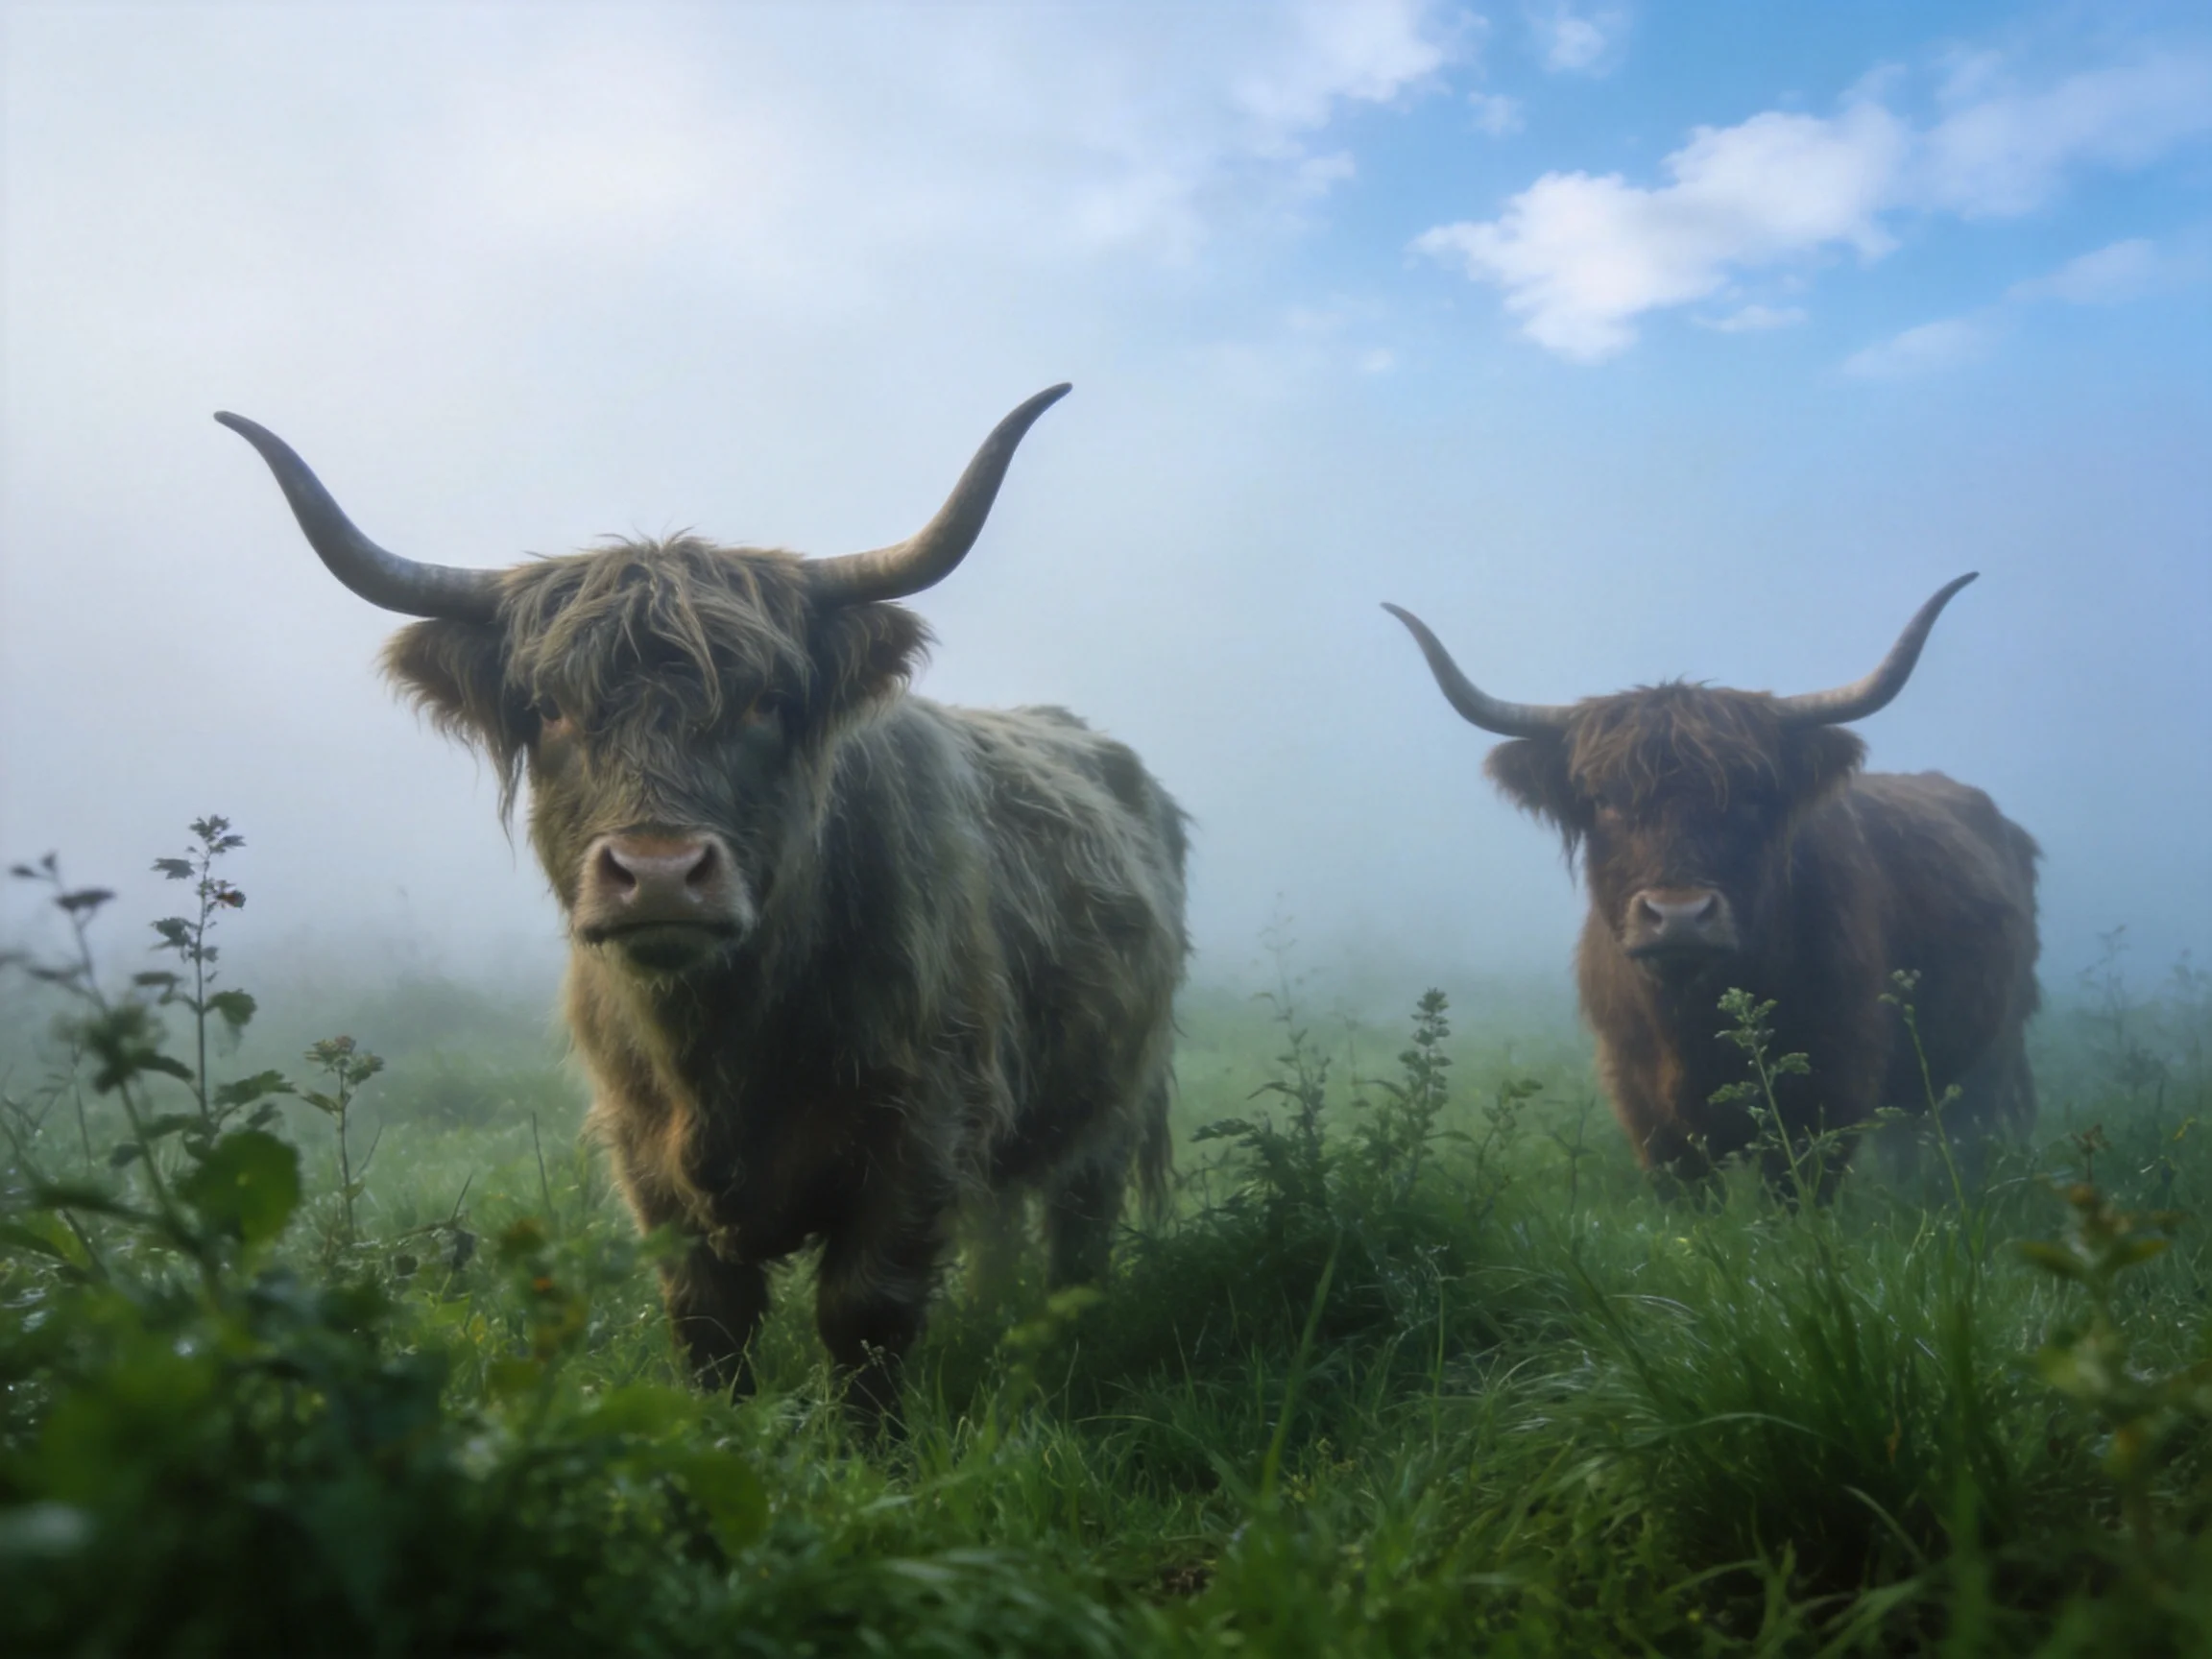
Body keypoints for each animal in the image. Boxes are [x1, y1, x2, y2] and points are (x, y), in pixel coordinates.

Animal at [218, 386, 1189, 1416]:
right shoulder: (646, 1156)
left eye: (766, 702)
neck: (723, 1046)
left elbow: (865, 1315)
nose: (657, 871)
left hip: (1112, 1104)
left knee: (1077, 1228)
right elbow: (710, 1328)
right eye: (550, 710)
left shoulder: (922, 1126)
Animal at [1384, 576, 2038, 1191]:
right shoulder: (1646, 1113)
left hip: (1996, 1054)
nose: (1678, 916)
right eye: (1602, 800)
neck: (1692, 1021)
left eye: (1751, 797)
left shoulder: (1829, 1095)